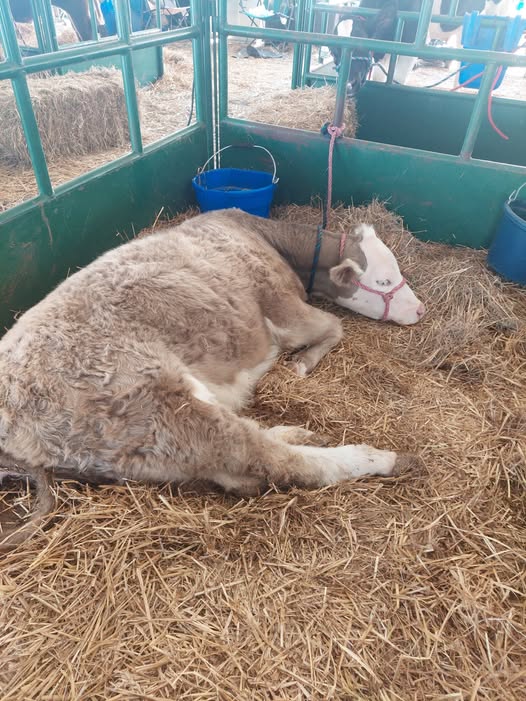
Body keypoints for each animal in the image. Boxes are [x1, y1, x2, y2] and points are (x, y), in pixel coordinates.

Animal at [0, 208, 425, 548]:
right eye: (384, 281)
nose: (420, 309)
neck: (264, 237)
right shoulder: (285, 309)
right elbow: (335, 327)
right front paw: (303, 364)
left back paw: (298, 433)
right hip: (166, 407)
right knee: (273, 461)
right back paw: (381, 457)